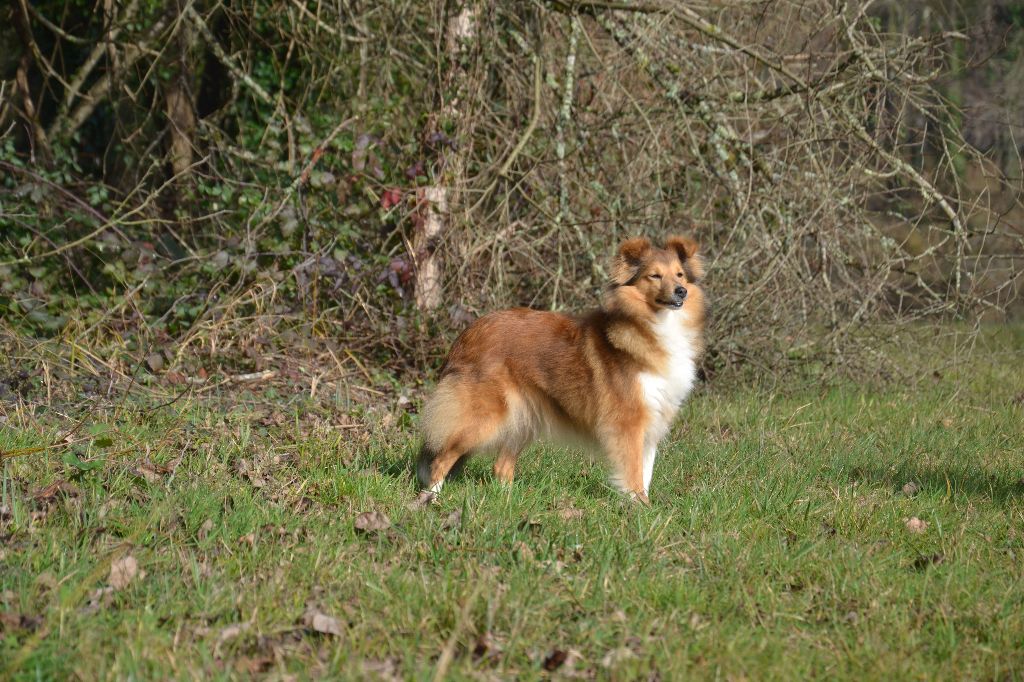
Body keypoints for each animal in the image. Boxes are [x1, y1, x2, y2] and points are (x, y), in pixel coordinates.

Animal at [416, 236, 706, 504]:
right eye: (654, 275)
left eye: (679, 274)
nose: (681, 291)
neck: (657, 324)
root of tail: (467, 334)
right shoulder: (629, 421)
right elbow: (633, 472)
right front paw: (640, 506)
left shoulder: (653, 418)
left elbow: (645, 471)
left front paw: (642, 508)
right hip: (482, 417)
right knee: (441, 459)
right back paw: (431, 497)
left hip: (523, 417)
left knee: (501, 467)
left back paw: (512, 500)